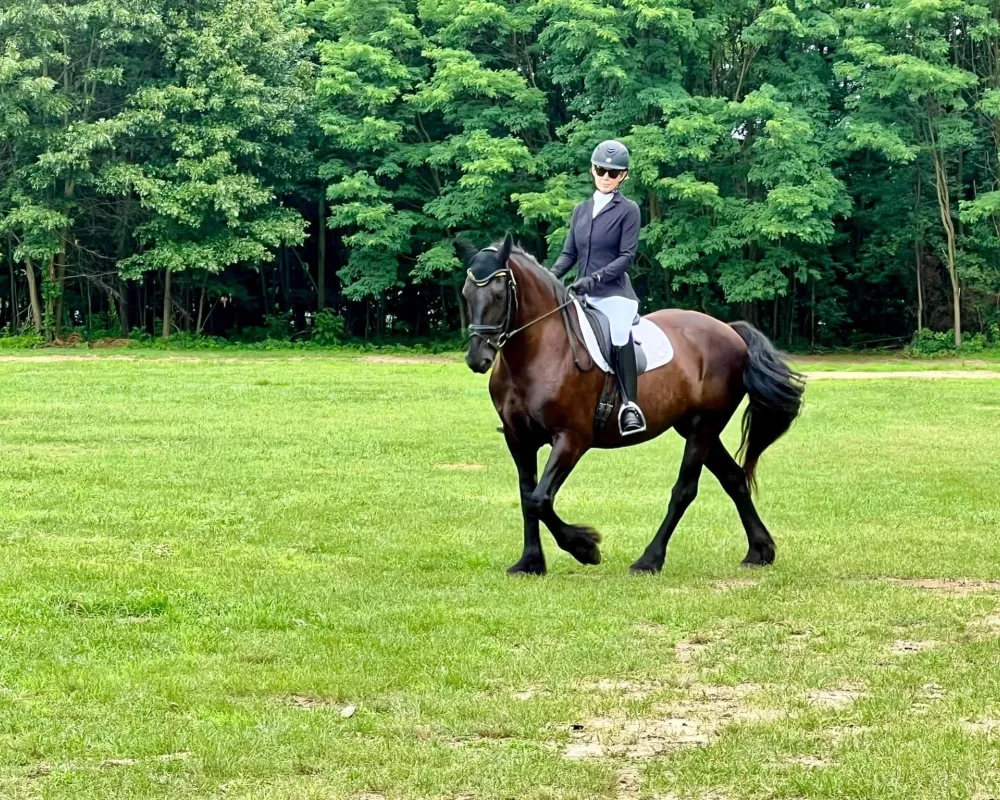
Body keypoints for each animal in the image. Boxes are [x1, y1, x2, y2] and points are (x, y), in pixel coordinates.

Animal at [458, 231, 808, 576]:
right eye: (466, 294)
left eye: (499, 296)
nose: (478, 359)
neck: (540, 352)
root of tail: (729, 331)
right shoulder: (519, 439)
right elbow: (527, 496)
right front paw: (530, 563)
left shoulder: (572, 439)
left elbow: (540, 499)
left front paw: (585, 547)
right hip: (694, 427)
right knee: (733, 479)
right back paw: (759, 551)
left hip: (704, 426)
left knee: (684, 490)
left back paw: (649, 560)